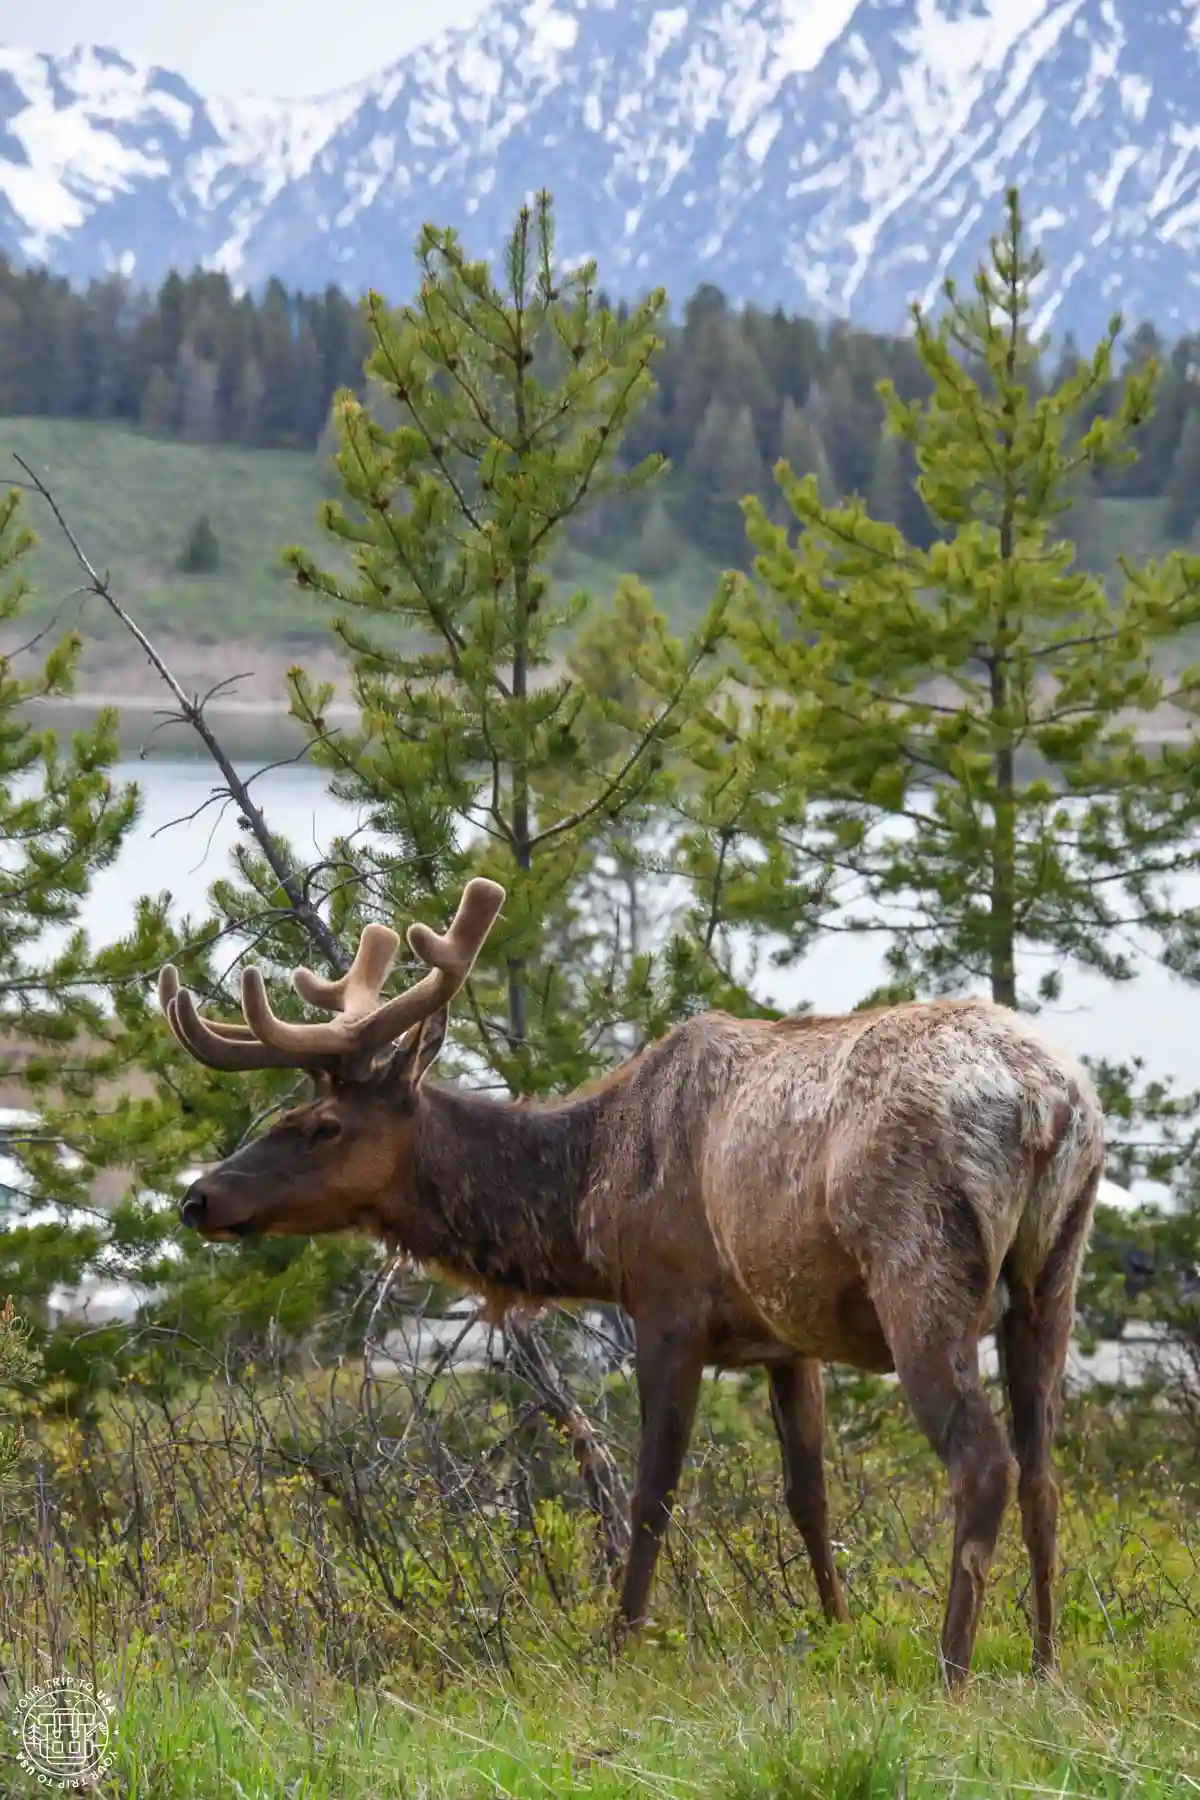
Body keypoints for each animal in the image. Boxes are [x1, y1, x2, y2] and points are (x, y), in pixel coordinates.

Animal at [160, 876, 1105, 1687]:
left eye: (321, 1125)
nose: (200, 1197)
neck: (590, 1204)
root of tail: (1046, 1104)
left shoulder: (668, 1304)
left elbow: (647, 1492)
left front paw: (619, 1641)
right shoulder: (785, 1336)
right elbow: (809, 1496)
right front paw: (839, 1629)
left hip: (919, 1263)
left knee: (982, 1461)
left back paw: (953, 1670)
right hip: (1053, 1276)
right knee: (1043, 1471)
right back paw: (1045, 1662)